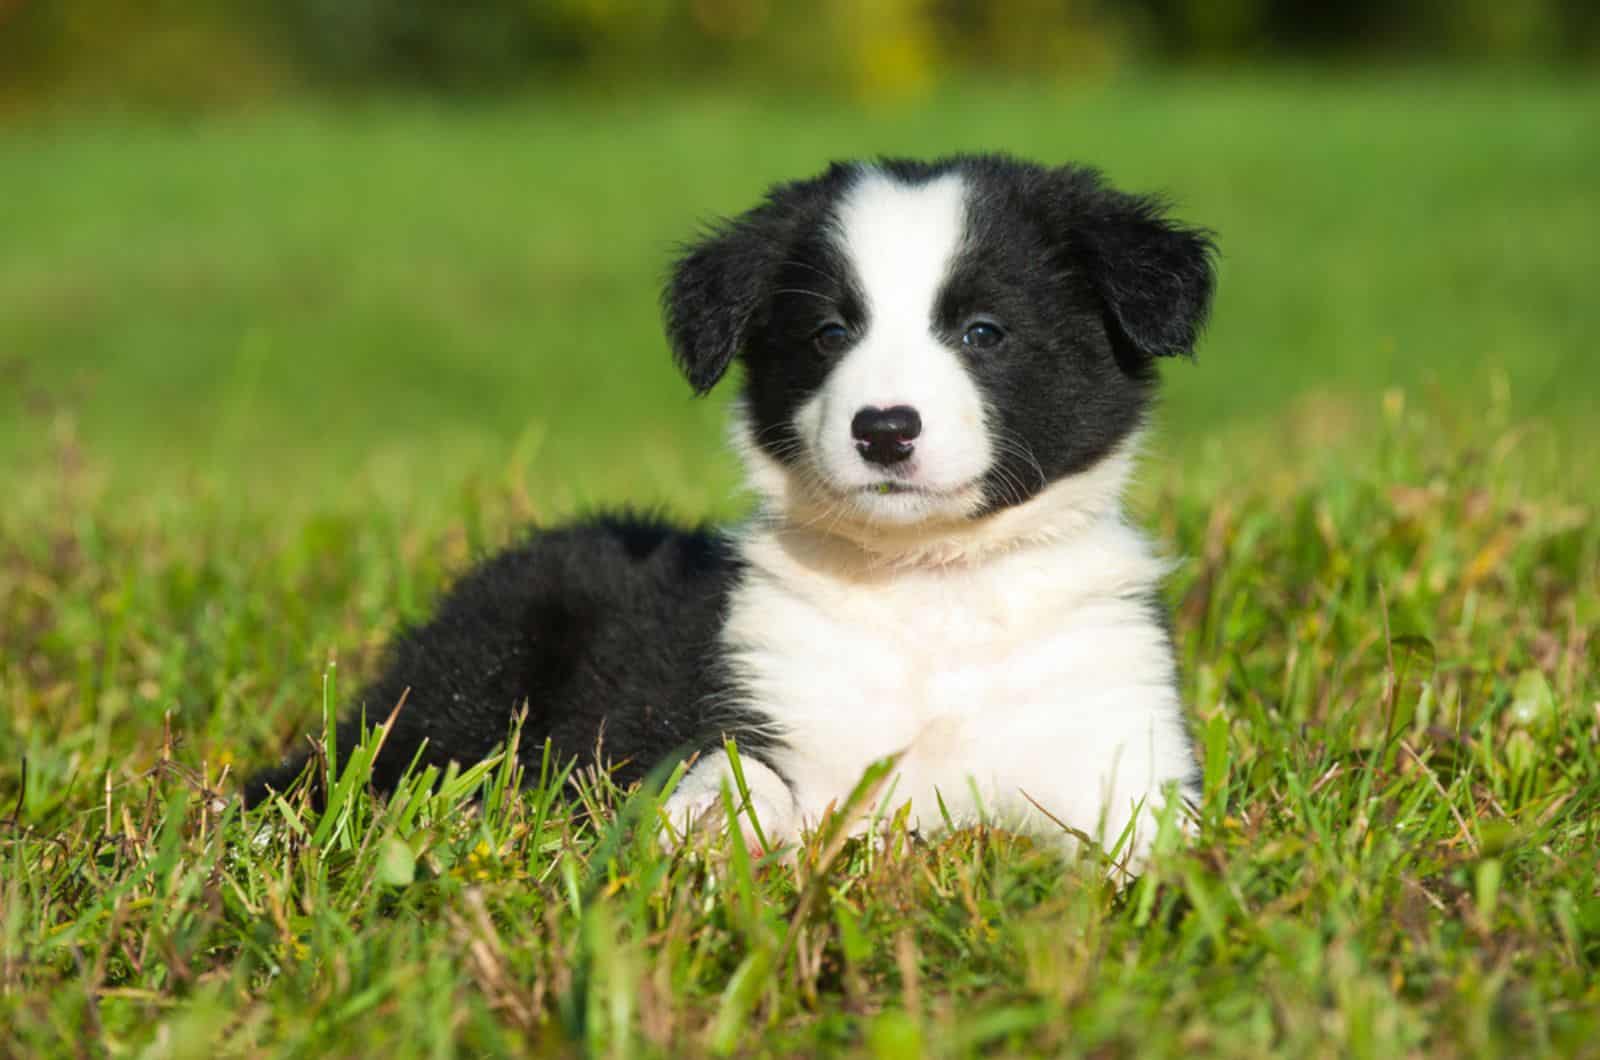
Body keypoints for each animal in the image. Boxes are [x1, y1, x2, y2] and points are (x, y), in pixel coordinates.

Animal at [249, 156, 1216, 871]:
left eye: (985, 332)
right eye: (830, 334)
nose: (884, 429)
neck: (928, 587)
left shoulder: (1122, 734)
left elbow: (1150, 844)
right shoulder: (752, 701)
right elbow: (733, 777)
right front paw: (721, 833)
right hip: (470, 677)